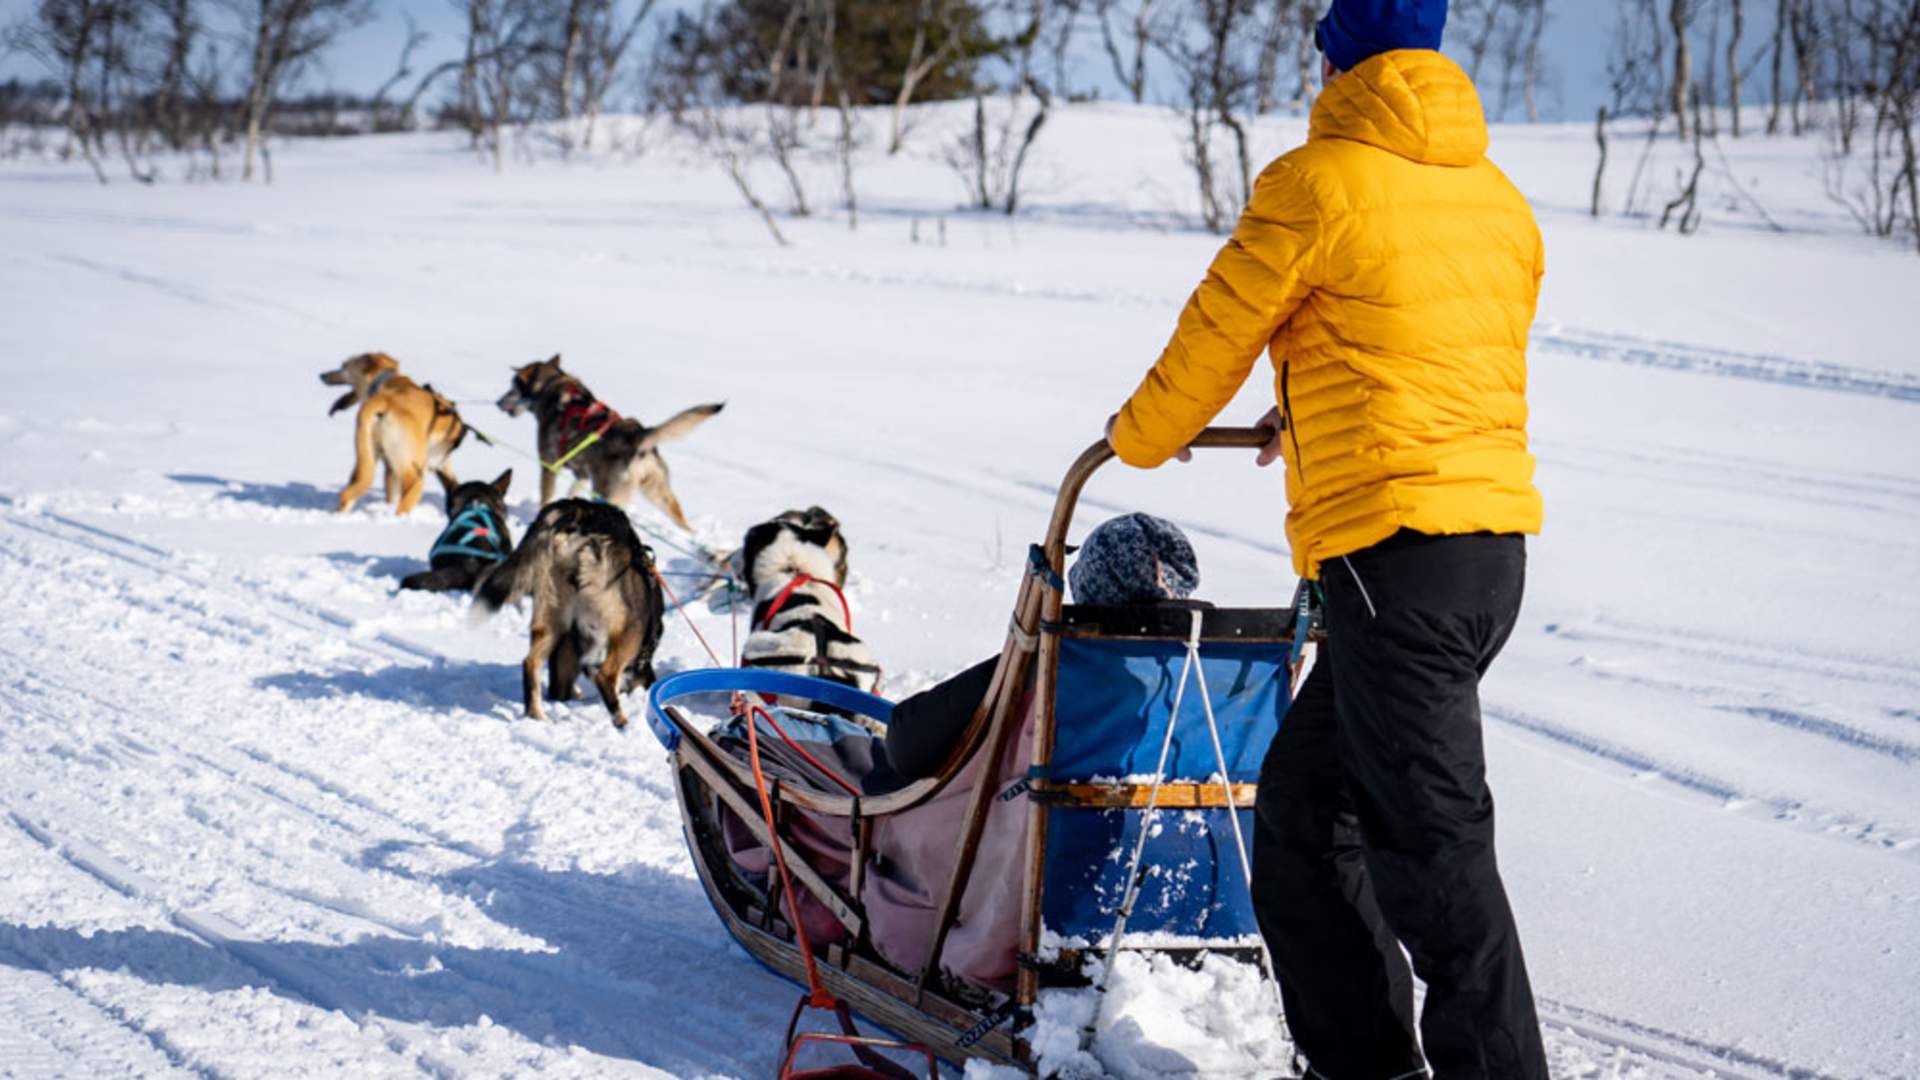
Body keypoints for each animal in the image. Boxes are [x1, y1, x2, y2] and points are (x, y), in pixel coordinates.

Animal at [322, 345, 468, 511]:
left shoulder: (390, 468)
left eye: (344, 365)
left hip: (366, 463)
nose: (322, 375)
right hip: (415, 476)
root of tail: (385, 401)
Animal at [474, 495, 668, 722]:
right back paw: (621, 722)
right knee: (606, 676)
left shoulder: (567, 649)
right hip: (630, 627)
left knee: (531, 662)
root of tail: (582, 512)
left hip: (552, 619)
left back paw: (536, 716)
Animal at [499, 355, 721, 526]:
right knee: (688, 528)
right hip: (658, 493)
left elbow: (546, 497)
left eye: (512, 388)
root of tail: (639, 436)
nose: (498, 402)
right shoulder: (582, 474)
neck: (552, 386)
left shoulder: (549, 465)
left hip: (607, 494)